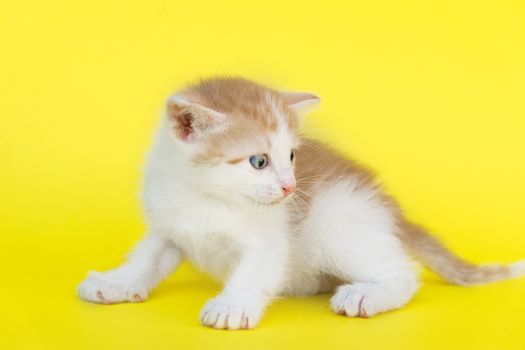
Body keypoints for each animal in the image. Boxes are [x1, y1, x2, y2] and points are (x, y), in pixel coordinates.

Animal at [79, 78, 524, 330]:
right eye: (259, 161)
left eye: (292, 156)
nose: (290, 188)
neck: (207, 196)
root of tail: (392, 210)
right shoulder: (169, 226)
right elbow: (146, 259)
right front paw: (115, 283)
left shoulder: (269, 237)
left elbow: (255, 269)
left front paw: (232, 305)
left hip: (337, 225)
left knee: (402, 274)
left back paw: (365, 295)